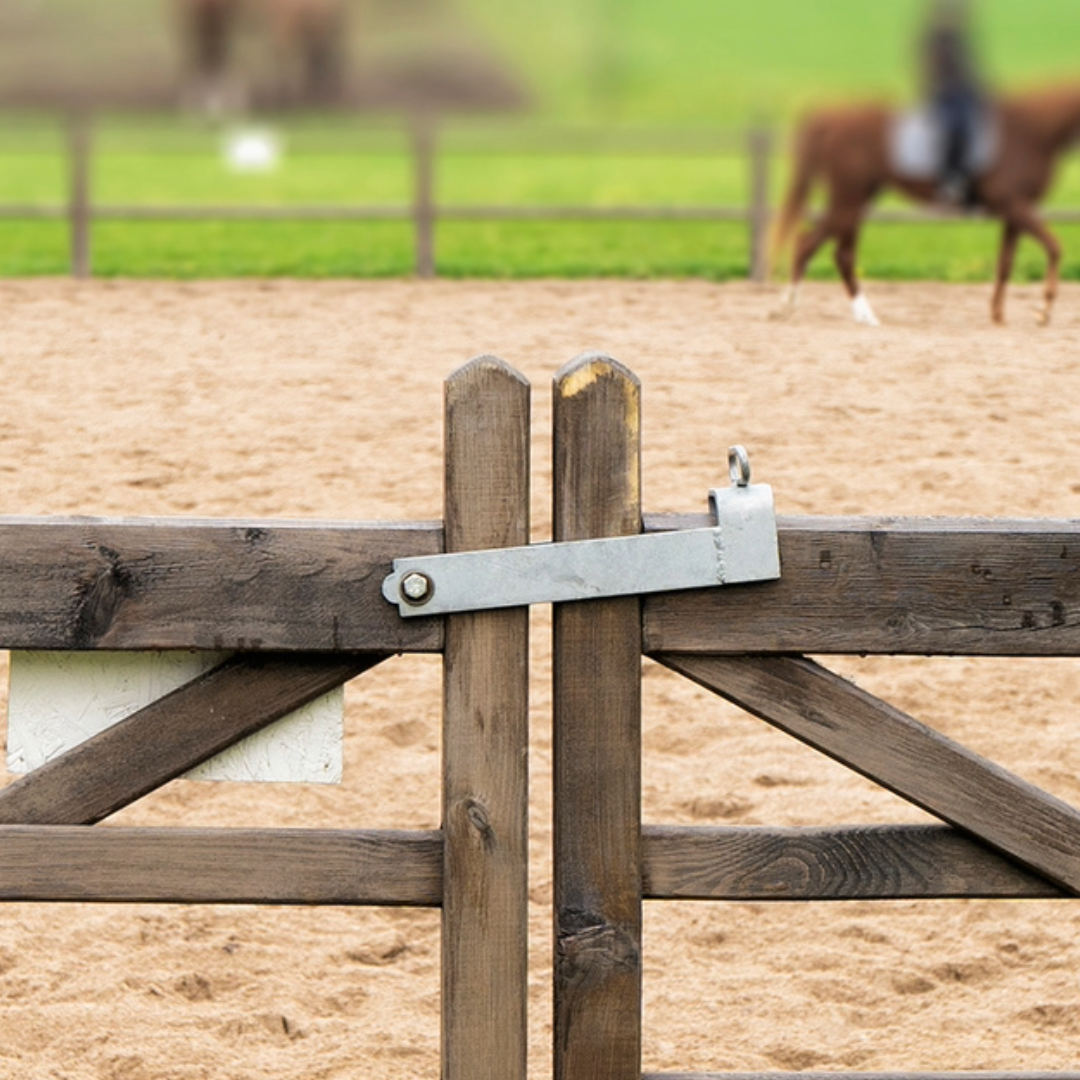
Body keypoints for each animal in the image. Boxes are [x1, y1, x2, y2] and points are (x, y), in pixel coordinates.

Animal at [771, 84, 1080, 326]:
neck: (1030, 133)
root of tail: (834, 120)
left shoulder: (1013, 211)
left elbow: (1006, 262)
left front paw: (998, 316)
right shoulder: (1014, 204)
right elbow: (1054, 247)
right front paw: (1043, 311)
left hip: (856, 198)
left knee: (811, 244)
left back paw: (788, 306)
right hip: (850, 197)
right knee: (837, 253)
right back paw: (863, 315)